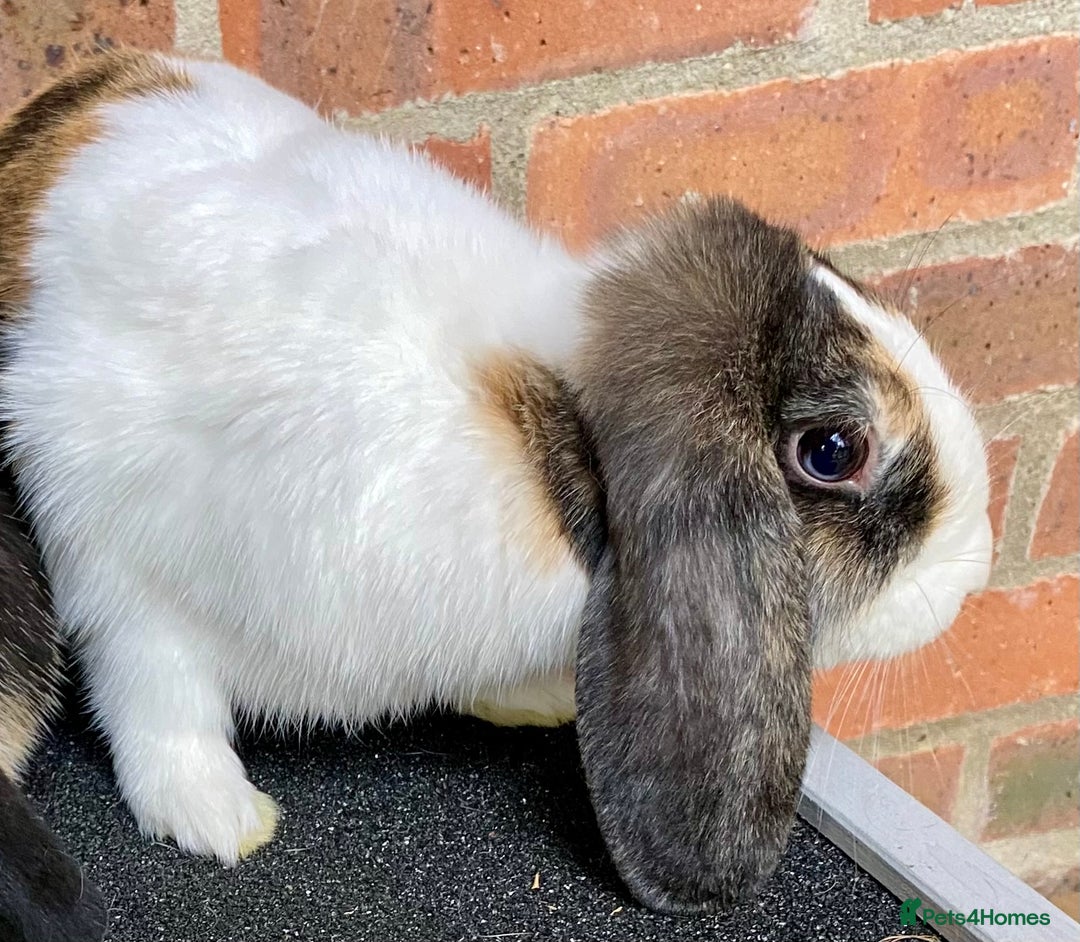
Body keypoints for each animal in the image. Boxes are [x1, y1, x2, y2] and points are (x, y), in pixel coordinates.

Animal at [0, 49, 992, 915]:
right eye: (832, 451)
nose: (975, 568)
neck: (551, 438)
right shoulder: (122, 563)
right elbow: (161, 703)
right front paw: (217, 819)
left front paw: (537, 702)